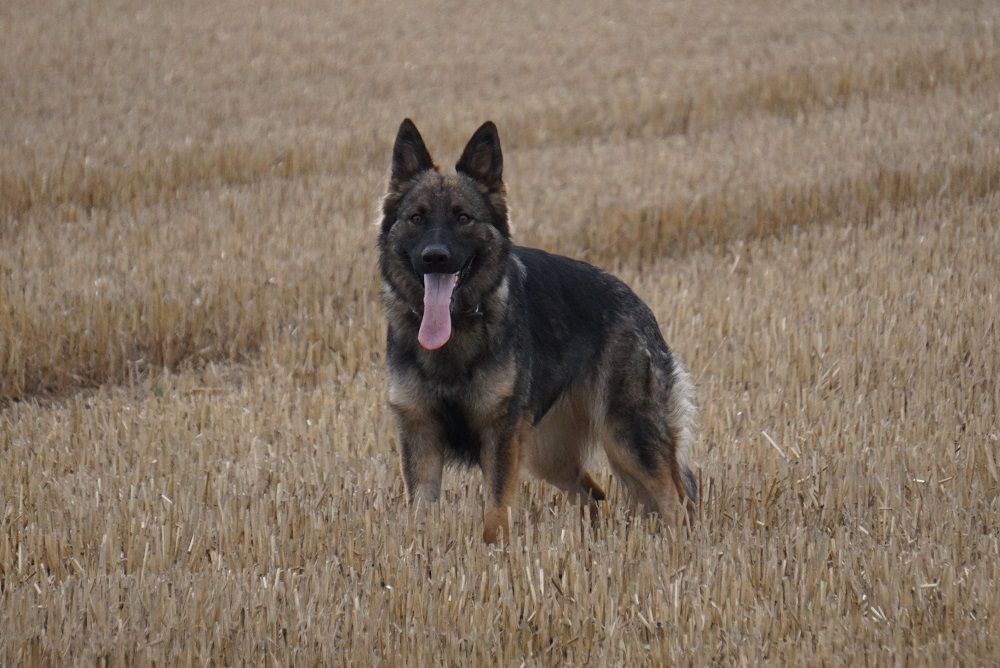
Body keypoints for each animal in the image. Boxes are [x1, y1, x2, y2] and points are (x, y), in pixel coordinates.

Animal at [378, 118, 700, 544]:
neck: (458, 330)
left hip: (627, 438)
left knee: (675, 503)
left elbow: (496, 511)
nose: (436, 258)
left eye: (463, 218)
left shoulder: (499, 437)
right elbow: (421, 514)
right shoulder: (420, 435)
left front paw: (495, 552)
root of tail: (637, 303)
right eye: (417, 218)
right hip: (546, 452)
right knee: (594, 494)